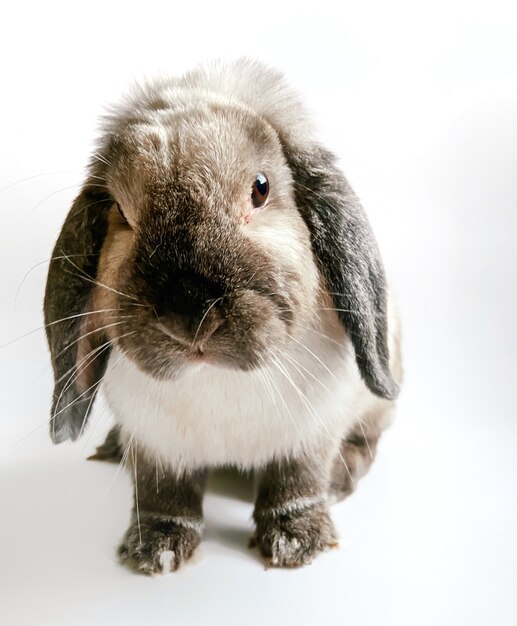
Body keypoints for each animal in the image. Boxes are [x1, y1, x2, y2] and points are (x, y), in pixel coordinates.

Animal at [43, 61, 404, 572]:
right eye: (120, 212)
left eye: (261, 188)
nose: (189, 314)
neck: (216, 380)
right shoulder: (157, 446)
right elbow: (162, 495)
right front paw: (156, 549)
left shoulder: (310, 435)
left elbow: (296, 485)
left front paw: (297, 543)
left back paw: (343, 475)